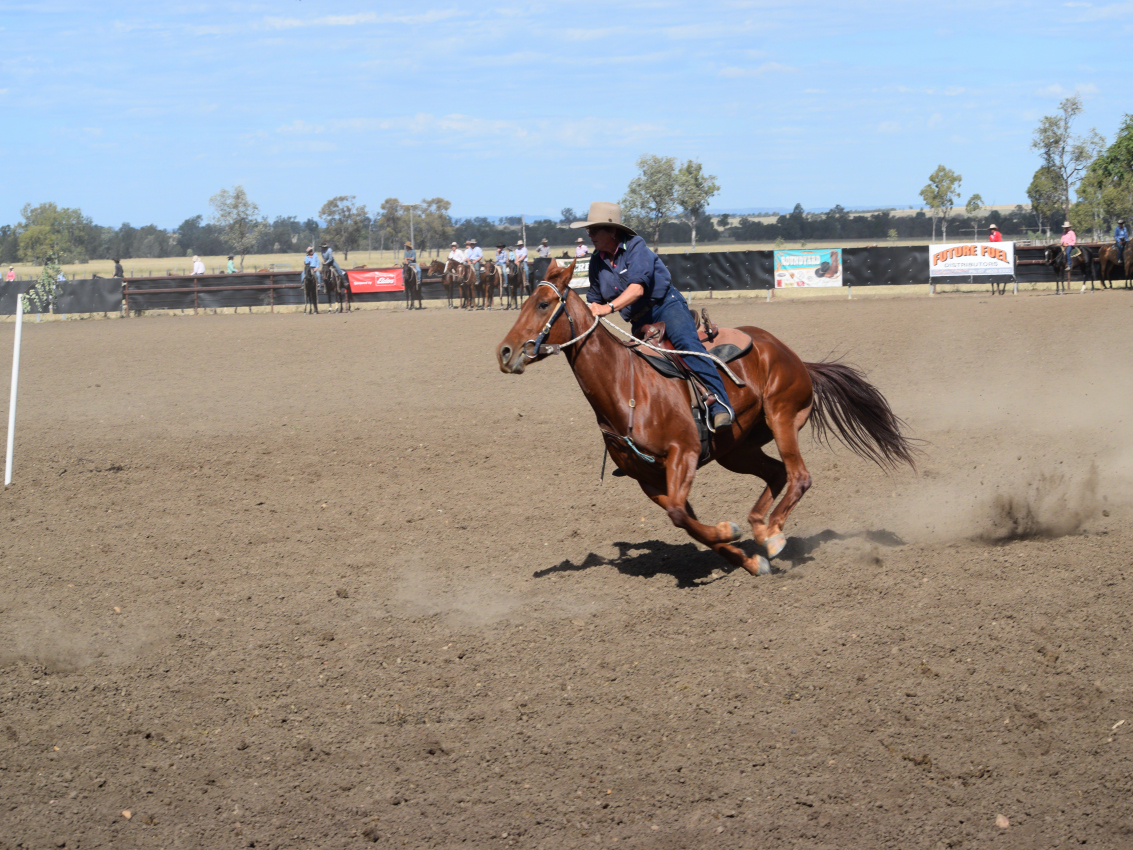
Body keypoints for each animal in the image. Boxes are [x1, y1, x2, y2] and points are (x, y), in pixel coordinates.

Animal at [496, 261, 917, 577]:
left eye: (544, 303)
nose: (504, 352)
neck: (626, 386)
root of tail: (792, 356)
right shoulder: (649, 479)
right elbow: (684, 518)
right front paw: (745, 557)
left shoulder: (682, 454)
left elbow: (680, 514)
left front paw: (732, 534)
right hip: (737, 449)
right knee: (776, 473)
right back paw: (759, 528)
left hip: (782, 418)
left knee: (799, 476)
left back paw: (773, 535)